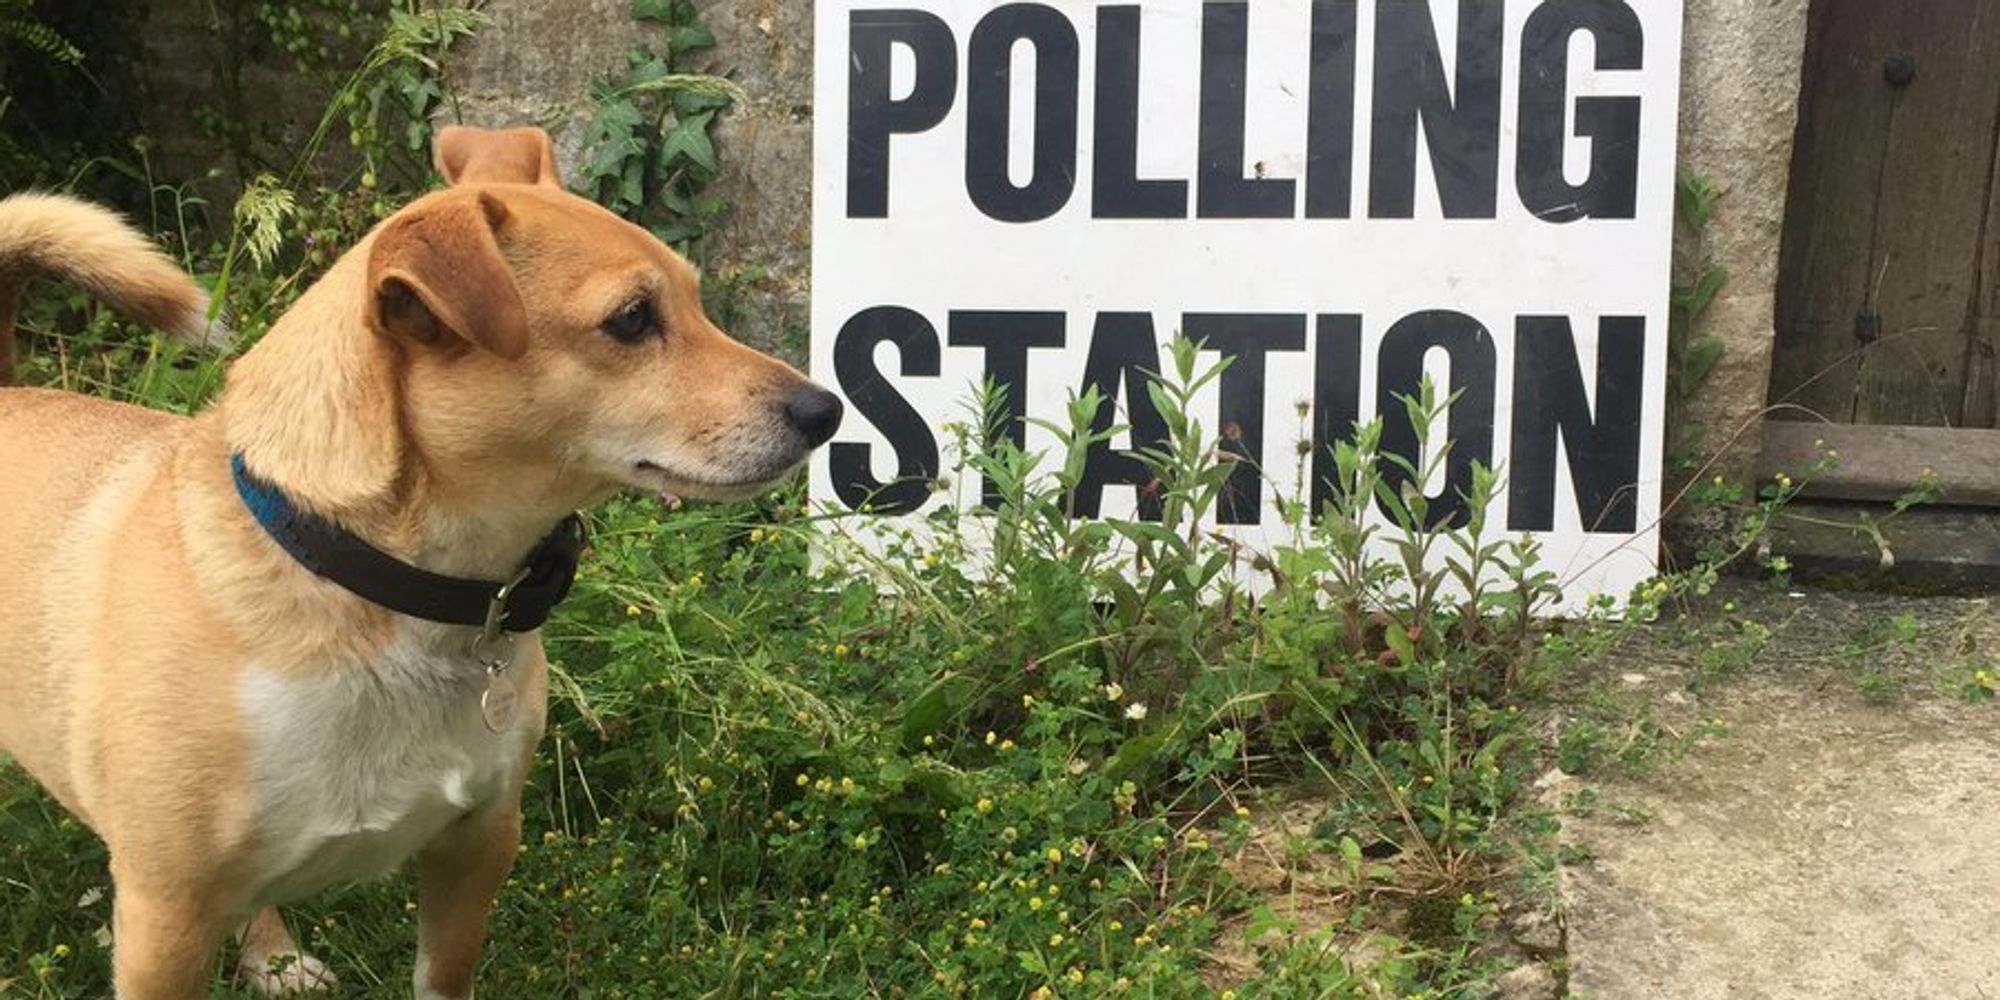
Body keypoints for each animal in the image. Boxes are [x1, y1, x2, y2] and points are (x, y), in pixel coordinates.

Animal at [0, 127, 836, 1000]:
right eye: (632, 320)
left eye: (694, 300)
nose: (826, 410)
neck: (373, 590)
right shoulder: (165, 915)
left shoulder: (478, 846)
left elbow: (442, 974)